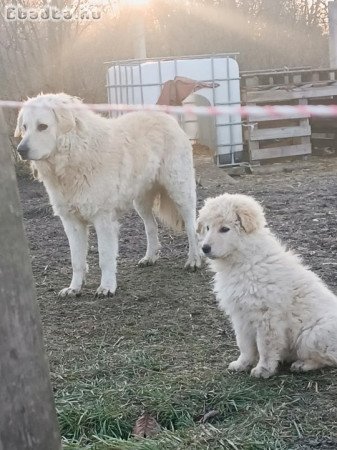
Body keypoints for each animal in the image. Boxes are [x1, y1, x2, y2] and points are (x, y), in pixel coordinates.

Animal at [15, 93, 200, 298]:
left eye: (42, 126)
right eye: (24, 127)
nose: (20, 150)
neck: (77, 153)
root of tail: (168, 117)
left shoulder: (103, 219)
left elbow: (104, 257)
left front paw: (107, 287)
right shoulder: (72, 222)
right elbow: (76, 260)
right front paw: (74, 288)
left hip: (180, 191)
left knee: (191, 226)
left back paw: (194, 260)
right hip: (141, 201)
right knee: (151, 227)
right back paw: (150, 257)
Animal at [196, 192, 336, 376]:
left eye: (224, 229)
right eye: (207, 228)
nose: (204, 248)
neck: (244, 260)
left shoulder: (266, 316)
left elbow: (265, 346)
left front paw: (263, 369)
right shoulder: (240, 315)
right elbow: (244, 344)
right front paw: (242, 363)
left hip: (312, 335)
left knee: (328, 357)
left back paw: (302, 365)